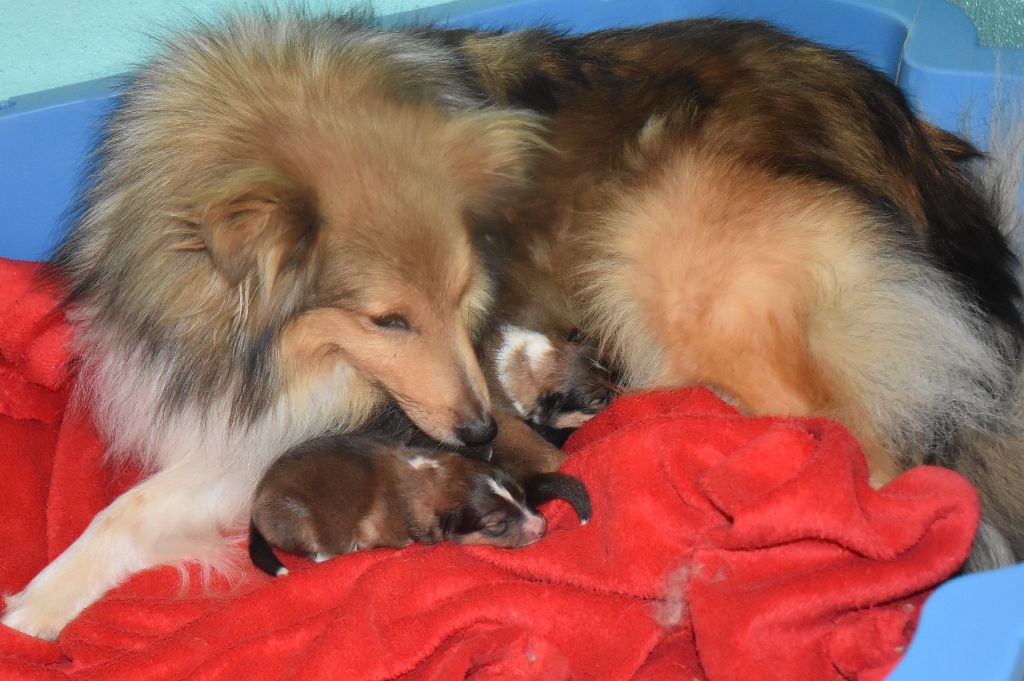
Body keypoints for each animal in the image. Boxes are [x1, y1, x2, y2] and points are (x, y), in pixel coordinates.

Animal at [246, 430, 593, 573]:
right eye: (496, 524)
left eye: (522, 496)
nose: (541, 526)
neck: (435, 479)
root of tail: (256, 502)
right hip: (299, 519)